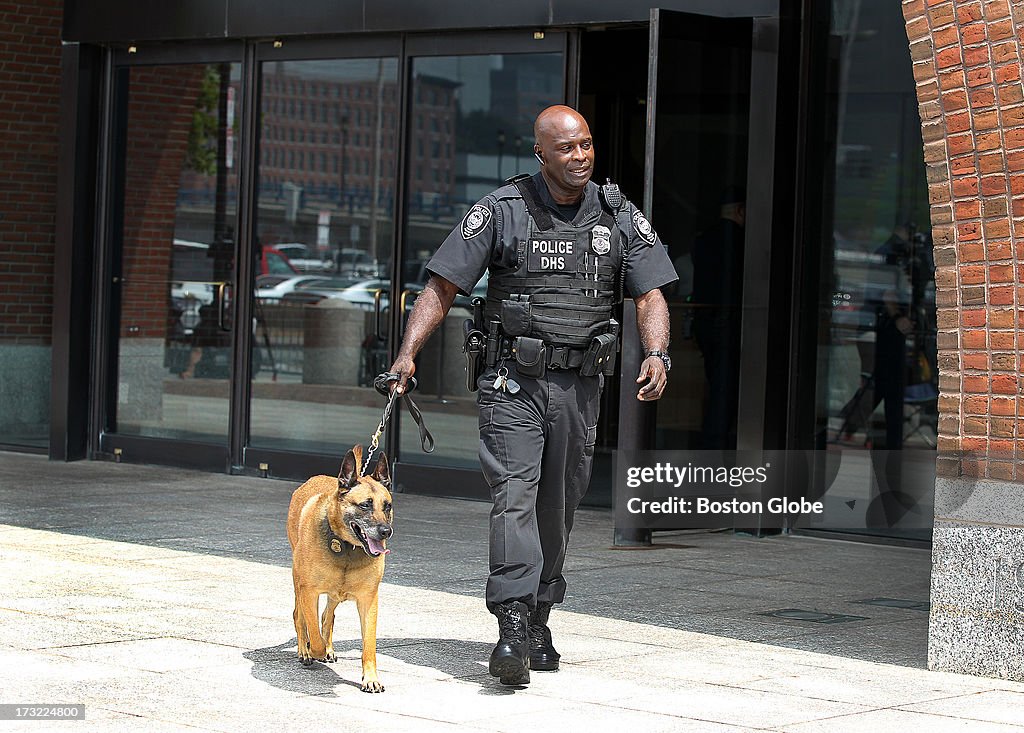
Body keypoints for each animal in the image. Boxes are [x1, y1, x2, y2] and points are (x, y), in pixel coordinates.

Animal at [286, 444, 393, 692]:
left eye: (387, 506)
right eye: (365, 505)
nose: (386, 532)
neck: (346, 547)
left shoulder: (368, 600)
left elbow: (369, 645)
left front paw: (371, 678)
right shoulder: (309, 592)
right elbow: (313, 632)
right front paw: (314, 649)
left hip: (334, 594)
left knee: (328, 616)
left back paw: (328, 648)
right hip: (298, 582)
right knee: (300, 617)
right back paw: (305, 650)